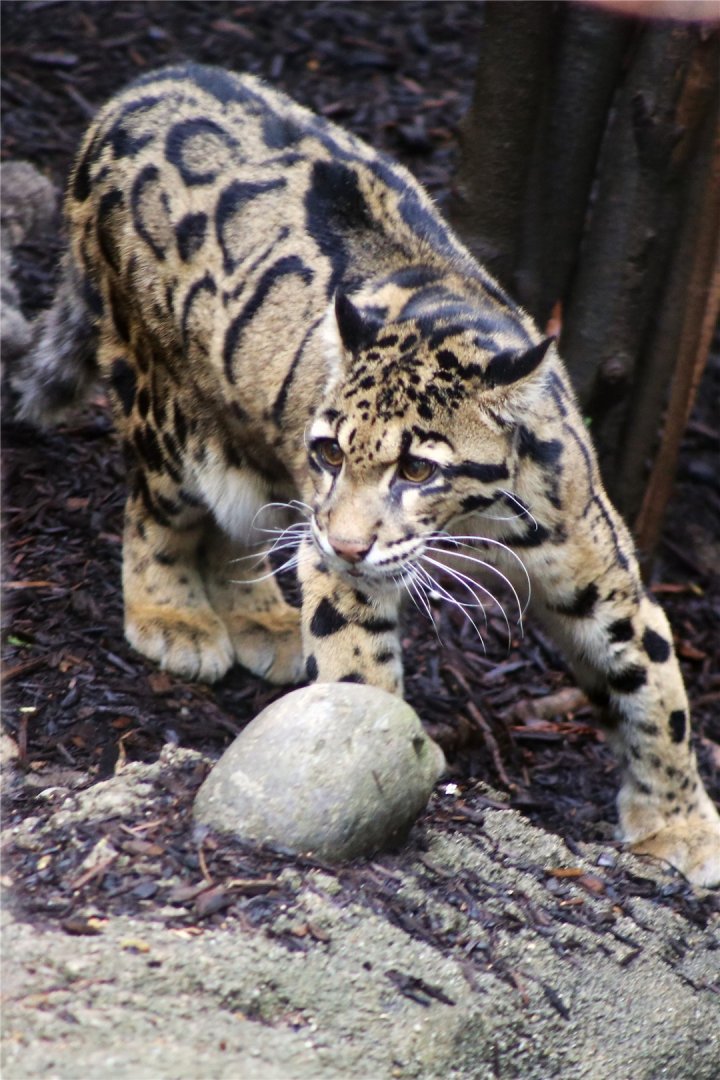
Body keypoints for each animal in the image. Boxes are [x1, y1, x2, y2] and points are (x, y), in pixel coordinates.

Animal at [13, 63, 719, 887]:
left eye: (417, 468)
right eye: (330, 453)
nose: (349, 544)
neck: (477, 520)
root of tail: (142, 87)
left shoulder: (601, 578)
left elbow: (655, 689)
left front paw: (679, 822)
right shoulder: (338, 560)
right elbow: (355, 666)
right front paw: (376, 755)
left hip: (246, 441)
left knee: (237, 523)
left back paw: (263, 620)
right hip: (164, 404)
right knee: (158, 510)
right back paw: (174, 618)